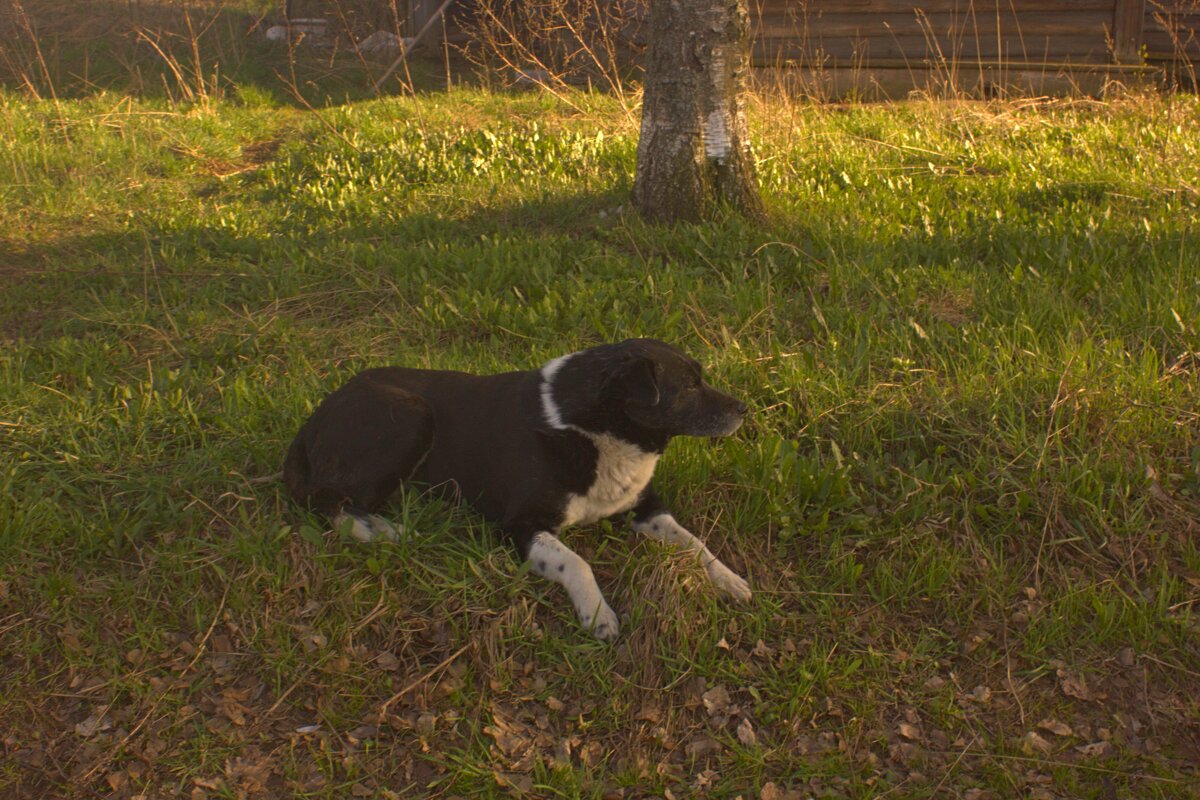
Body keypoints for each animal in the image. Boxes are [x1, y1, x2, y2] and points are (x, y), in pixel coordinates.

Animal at [283, 338, 748, 638]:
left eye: (700, 379)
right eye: (689, 387)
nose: (744, 408)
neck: (593, 428)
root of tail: (311, 422)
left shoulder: (645, 506)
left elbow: (693, 542)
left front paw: (729, 579)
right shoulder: (519, 525)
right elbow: (575, 562)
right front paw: (597, 612)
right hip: (410, 416)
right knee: (328, 501)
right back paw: (386, 531)